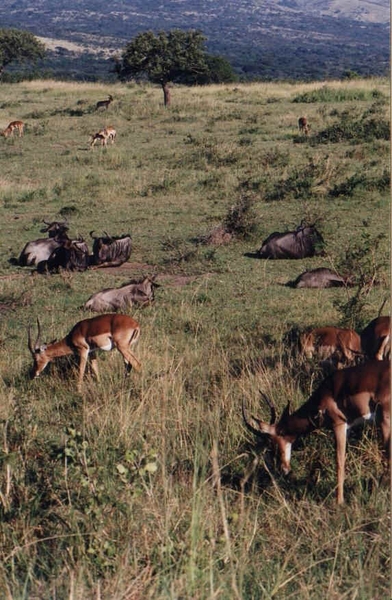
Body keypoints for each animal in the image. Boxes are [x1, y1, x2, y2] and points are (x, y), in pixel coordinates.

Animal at [243, 358, 390, 504]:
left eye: (272, 443)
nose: (283, 469)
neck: (325, 393)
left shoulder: (339, 424)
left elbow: (339, 462)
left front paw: (339, 501)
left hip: (385, 422)